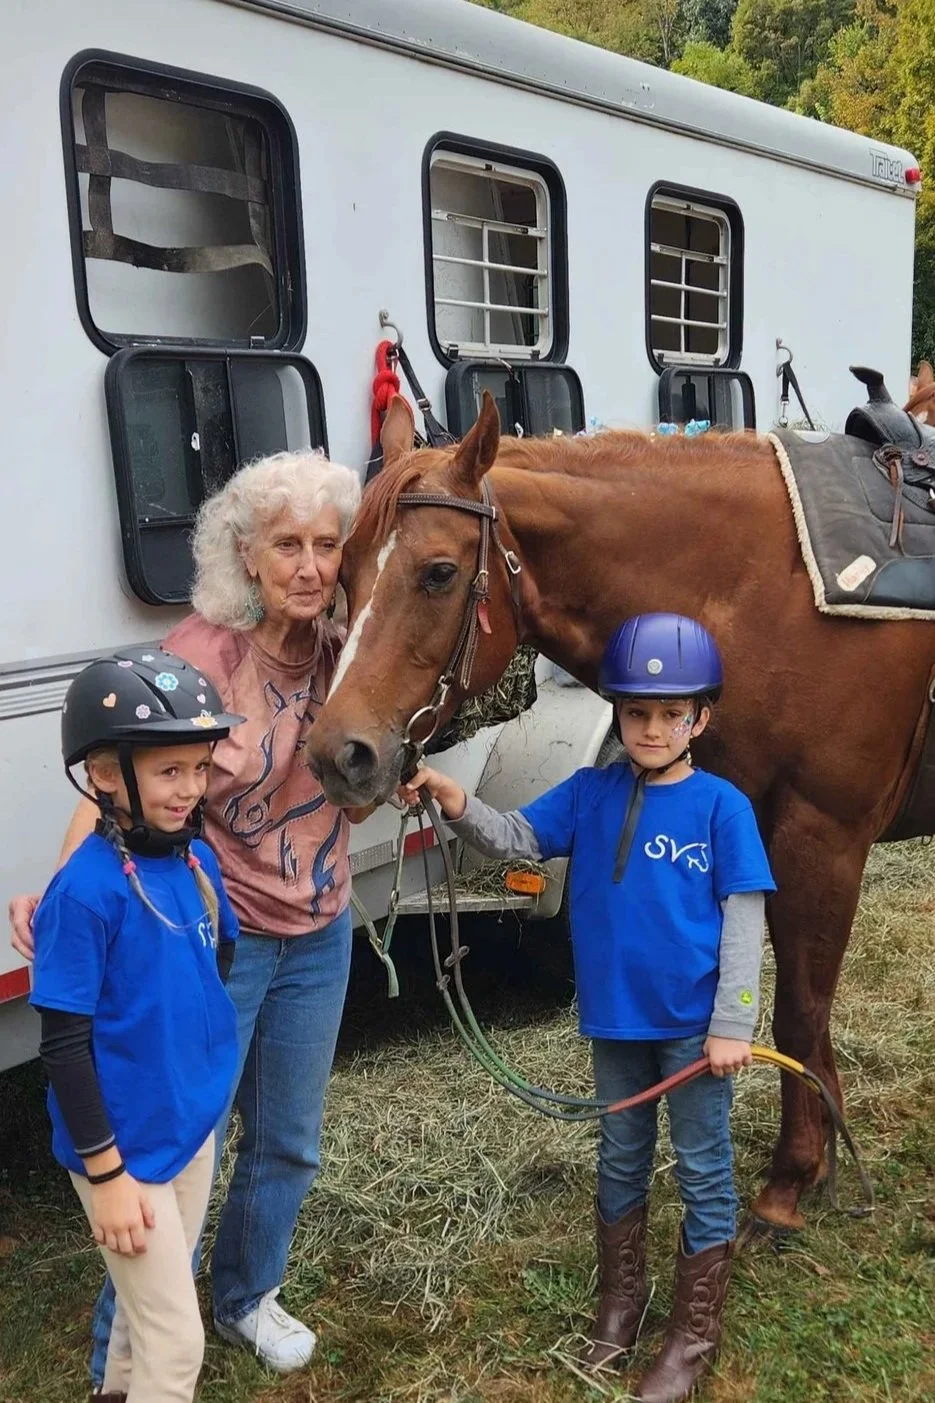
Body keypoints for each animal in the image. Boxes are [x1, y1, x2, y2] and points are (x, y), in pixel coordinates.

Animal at [308, 391, 935, 1233]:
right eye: (343, 567)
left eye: (438, 571)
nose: (338, 753)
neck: (762, 586)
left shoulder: (821, 836)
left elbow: (801, 1010)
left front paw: (789, 1182)